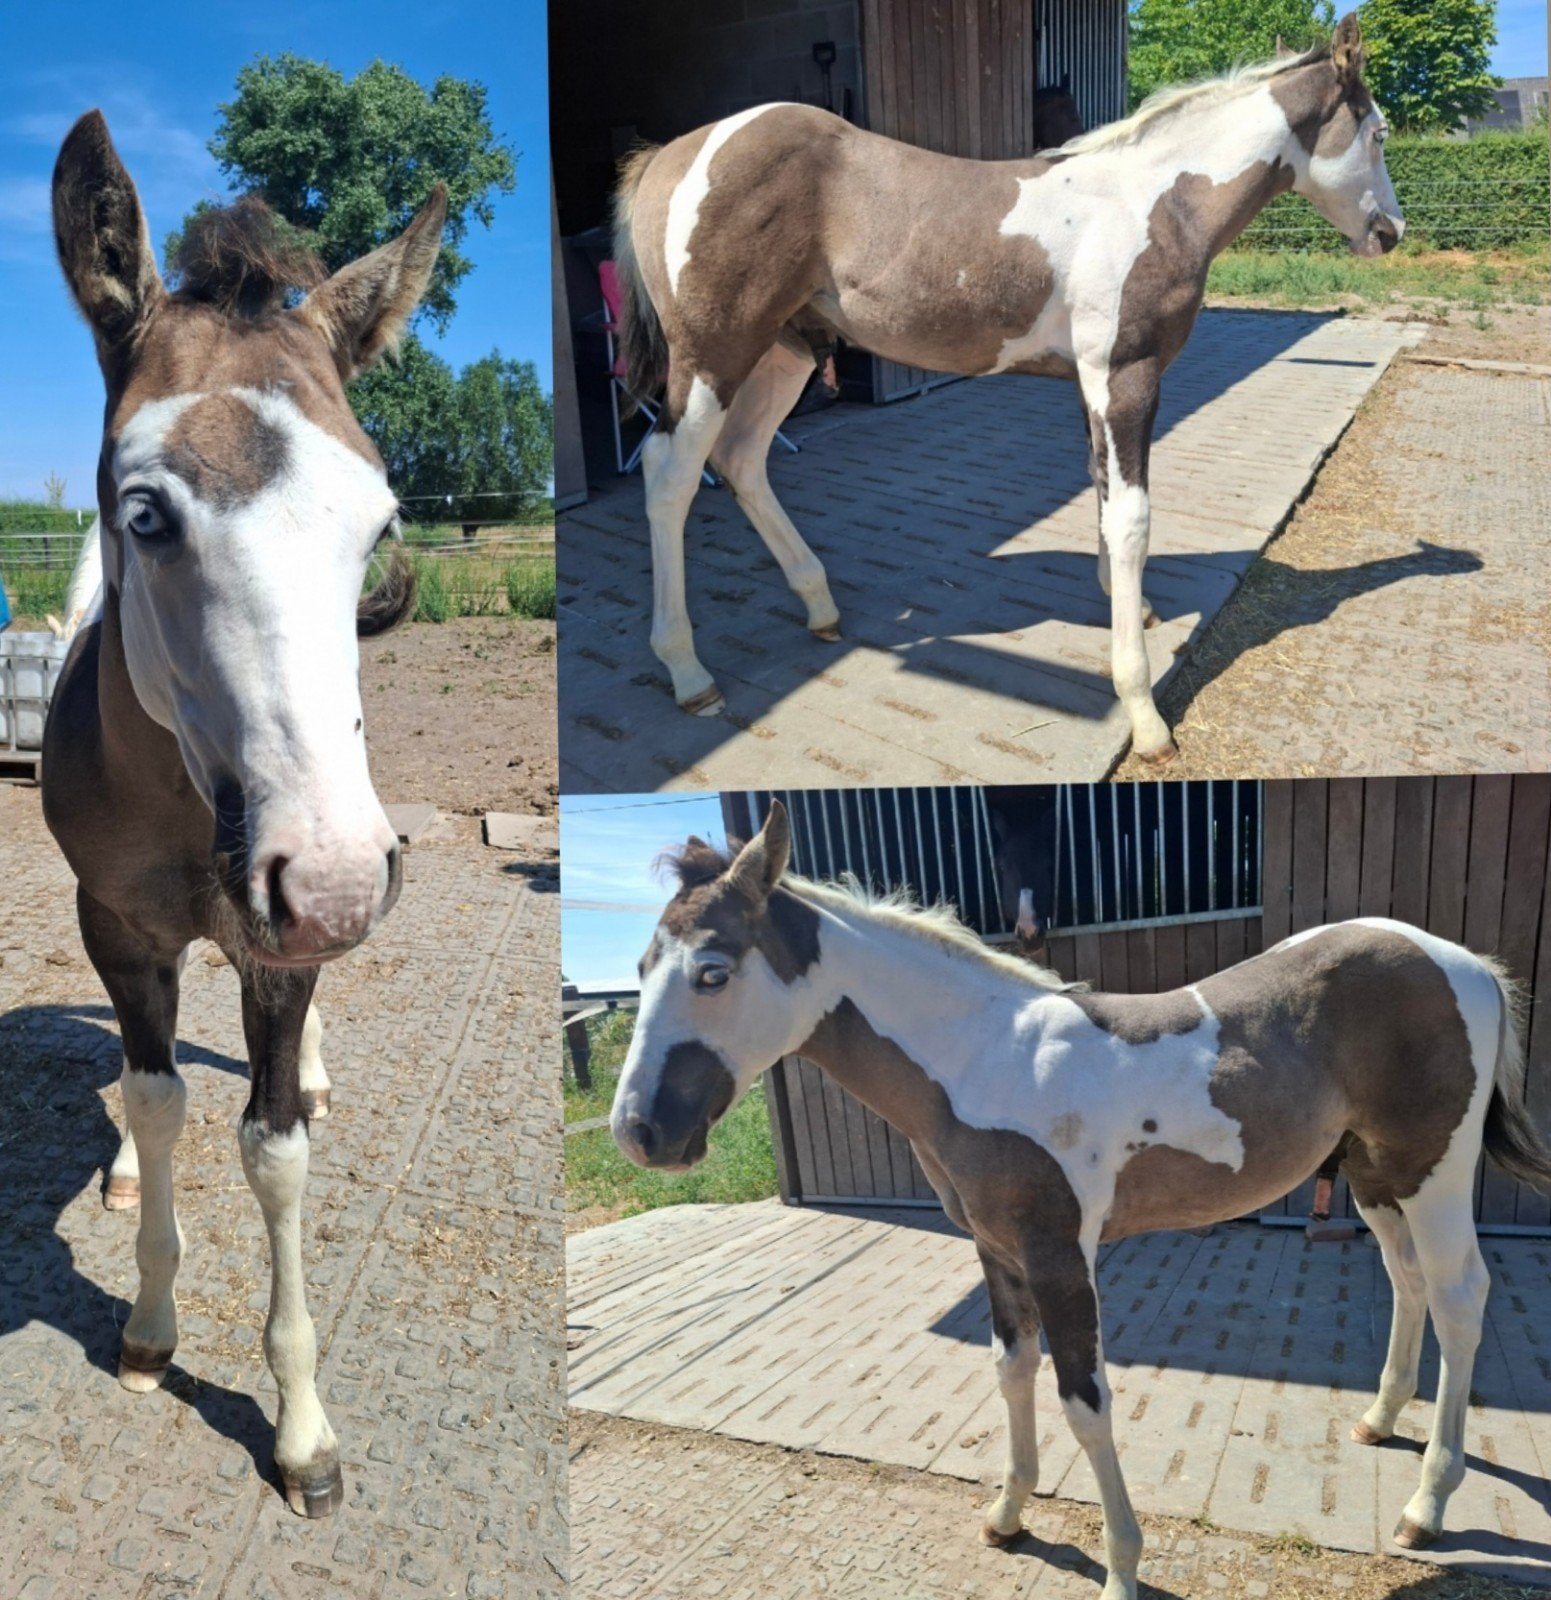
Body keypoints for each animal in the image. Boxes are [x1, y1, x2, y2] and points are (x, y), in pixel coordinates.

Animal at [43, 109, 444, 1517]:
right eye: (145, 509)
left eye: (379, 520)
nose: (329, 882)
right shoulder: (118, 927)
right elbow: (159, 1099)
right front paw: (149, 1334)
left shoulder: (279, 944)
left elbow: (270, 1147)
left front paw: (305, 1434)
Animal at [610, 15, 1402, 762]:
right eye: (1378, 133)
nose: (1390, 232)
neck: (1156, 201)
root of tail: (670, 155)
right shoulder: (1127, 373)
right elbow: (1132, 517)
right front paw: (1144, 712)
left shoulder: (1091, 382)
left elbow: (1101, 489)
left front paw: (1132, 606)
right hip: (713, 355)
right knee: (671, 471)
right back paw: (688, 672)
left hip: (785, 352)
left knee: (742, 459)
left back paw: (818, 605)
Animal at [610, 801, 1551, 1599]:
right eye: (640, 970)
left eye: (711, 972)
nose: (637, 1132)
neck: (980, 1058)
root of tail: (1464, 963)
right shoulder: (994, 1249)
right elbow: (1011, 1371)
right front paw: (1006, 1515)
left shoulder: (1060, 1255)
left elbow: (1083, 1401)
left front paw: (1122, 1568)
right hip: (1372, 1175)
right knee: (1408, 1281)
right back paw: (1379, 1421)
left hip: (1430, 1169)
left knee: (1459, 1295)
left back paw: (1427, 1505)